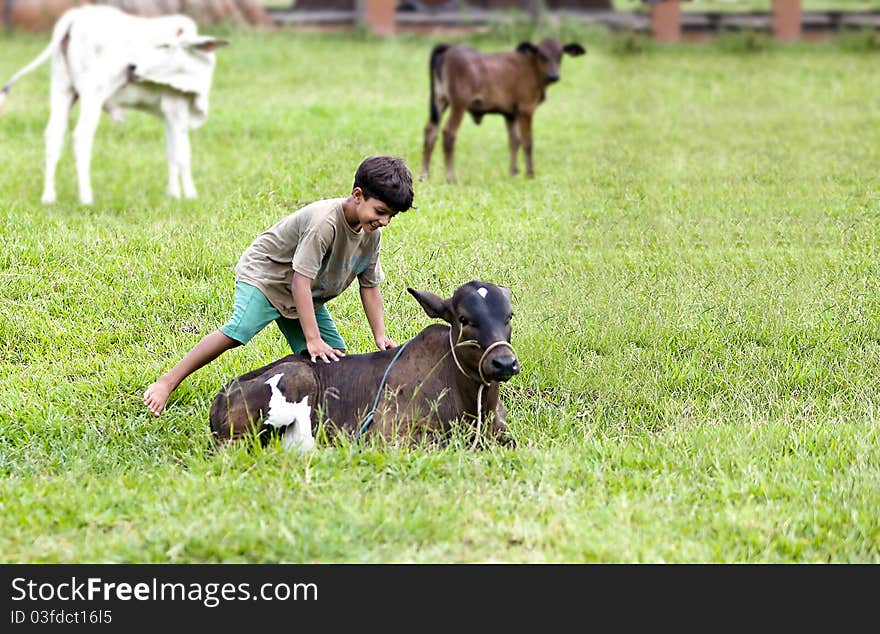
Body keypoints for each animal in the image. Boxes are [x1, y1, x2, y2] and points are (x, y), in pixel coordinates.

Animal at [0, 5, 227, 205]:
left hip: (62, 89)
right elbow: (182, 154)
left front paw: (173, 194)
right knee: (81, 136)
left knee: (54, 135)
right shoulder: (175, 107)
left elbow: (171, 152)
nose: (132, 67)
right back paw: (86, 198)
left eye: (165, 46)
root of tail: (75, 16)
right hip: (93, 93)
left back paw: (49, 197)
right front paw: (190, 195)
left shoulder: (167, 114)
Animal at [422, 37, 588, 181]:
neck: (531, 67)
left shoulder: (510, 115)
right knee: (448, 133)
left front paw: (513, 172)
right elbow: (527, 141)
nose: (554, 76)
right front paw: (530, 174)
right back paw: (450, 177)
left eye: (560, 55)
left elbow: (514, 141)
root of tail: (449, 48)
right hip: (459, 105)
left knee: (431, 131)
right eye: (542, 55)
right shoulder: (526, 109)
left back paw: (424, 175)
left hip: (440, 101)